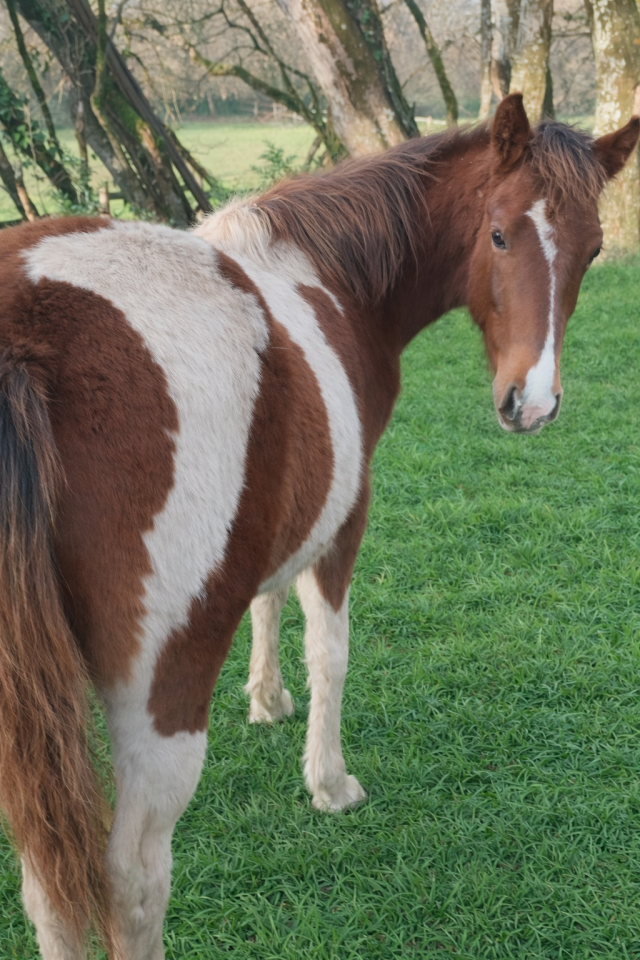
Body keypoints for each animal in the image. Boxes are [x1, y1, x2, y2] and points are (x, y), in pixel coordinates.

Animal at [0, 93, 637, 959]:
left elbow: (267, 599)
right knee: (131, 884)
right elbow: (330, 651)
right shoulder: (344, 518)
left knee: (48, 892)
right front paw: (329, 782)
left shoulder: (279, 516)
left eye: (592, 250)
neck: (325, 278)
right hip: (158, 703)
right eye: (500, 234)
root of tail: (27, 335)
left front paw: (266, 698)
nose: (531, 403)